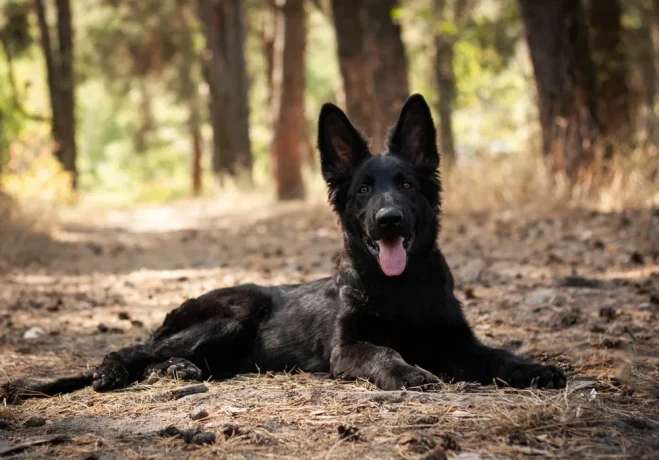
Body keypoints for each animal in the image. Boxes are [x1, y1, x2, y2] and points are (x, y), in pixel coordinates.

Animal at [12, 95, 564, 398]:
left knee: (160, 358)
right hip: (235, 312)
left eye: (406, 185)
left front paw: (535, 368)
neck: (400, 287)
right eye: (363, 190)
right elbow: (385, 353)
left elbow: (499, 356)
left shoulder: (460, 344)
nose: (388, 219)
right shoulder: (349, 348)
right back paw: (112, 371)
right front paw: (410, 372)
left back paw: (176, 371)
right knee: (134, 348)